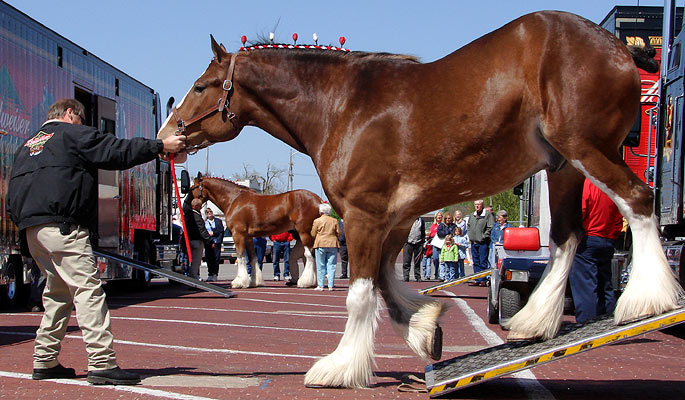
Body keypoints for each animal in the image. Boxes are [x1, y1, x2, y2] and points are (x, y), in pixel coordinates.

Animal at [188, 174, 322, 288]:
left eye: (193, 187)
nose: (189, 203)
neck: (234, 199)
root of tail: (318, 200)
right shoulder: (247, 237)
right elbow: (252, 258)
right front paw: (254, 281)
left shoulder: (238, 235)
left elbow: (241, 257)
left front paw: (238, 282)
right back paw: (314, 282)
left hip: (304, 232)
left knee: (309, 255)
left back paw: (305, 282)